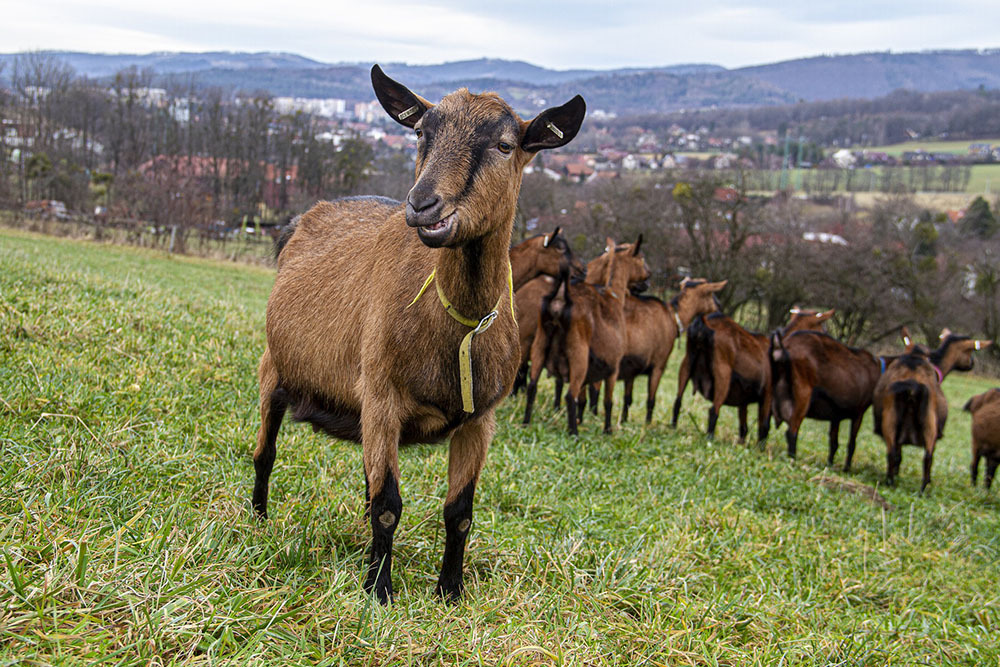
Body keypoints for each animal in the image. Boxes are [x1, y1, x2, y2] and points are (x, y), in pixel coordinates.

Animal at [254, 65, 588, 604]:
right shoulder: (381, 397)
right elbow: (390, 503)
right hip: (274, 368)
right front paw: (379, 590)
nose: (423, 206)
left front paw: (450, 591)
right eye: (419, 134)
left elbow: (459, 513)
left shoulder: (481, 419)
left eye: (505, 145)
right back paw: (260, 518)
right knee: (266, 451)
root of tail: (300, 219)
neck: (458, 325)